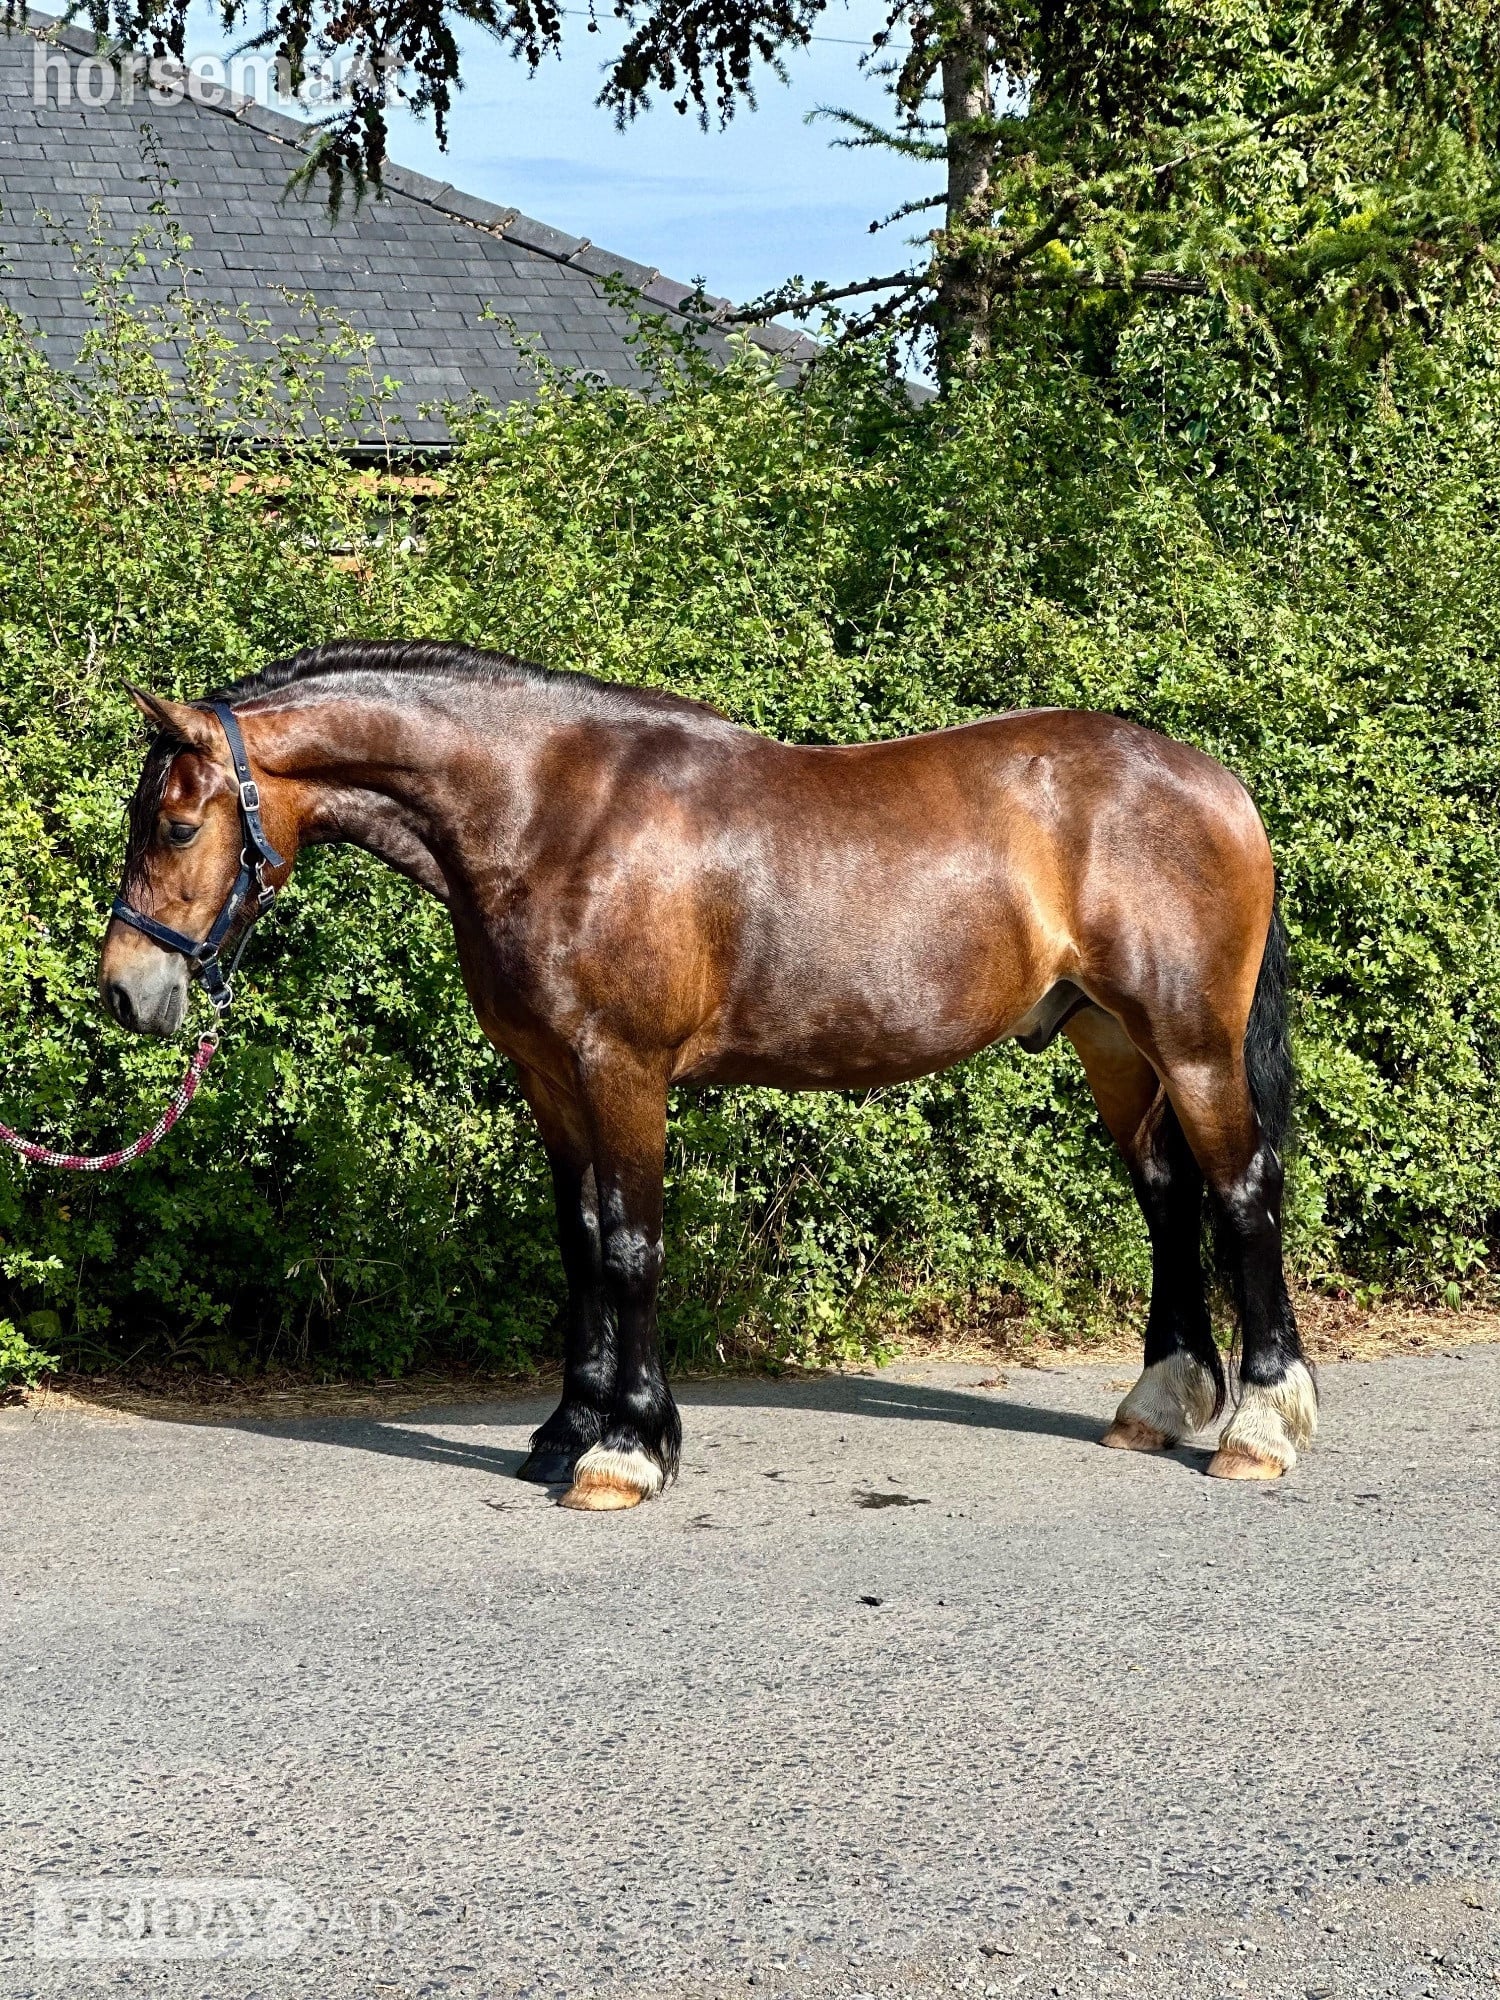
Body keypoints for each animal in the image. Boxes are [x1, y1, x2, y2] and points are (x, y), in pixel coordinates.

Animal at [98, 640, 1315, 1509]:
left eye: (174, 824)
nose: (123, 990)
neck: (553, 813)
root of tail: (1219, 784)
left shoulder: (623, 1070)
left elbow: (633, 1246)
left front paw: (626, 1451)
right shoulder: (551, 1078)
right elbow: (582, 1243)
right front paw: (565, 1433)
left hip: (1190, 1041)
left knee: (1242, 1191)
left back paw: (1260, 1426)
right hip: (1108, 1038)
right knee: (1167, 1194)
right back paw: (1160, 1401)